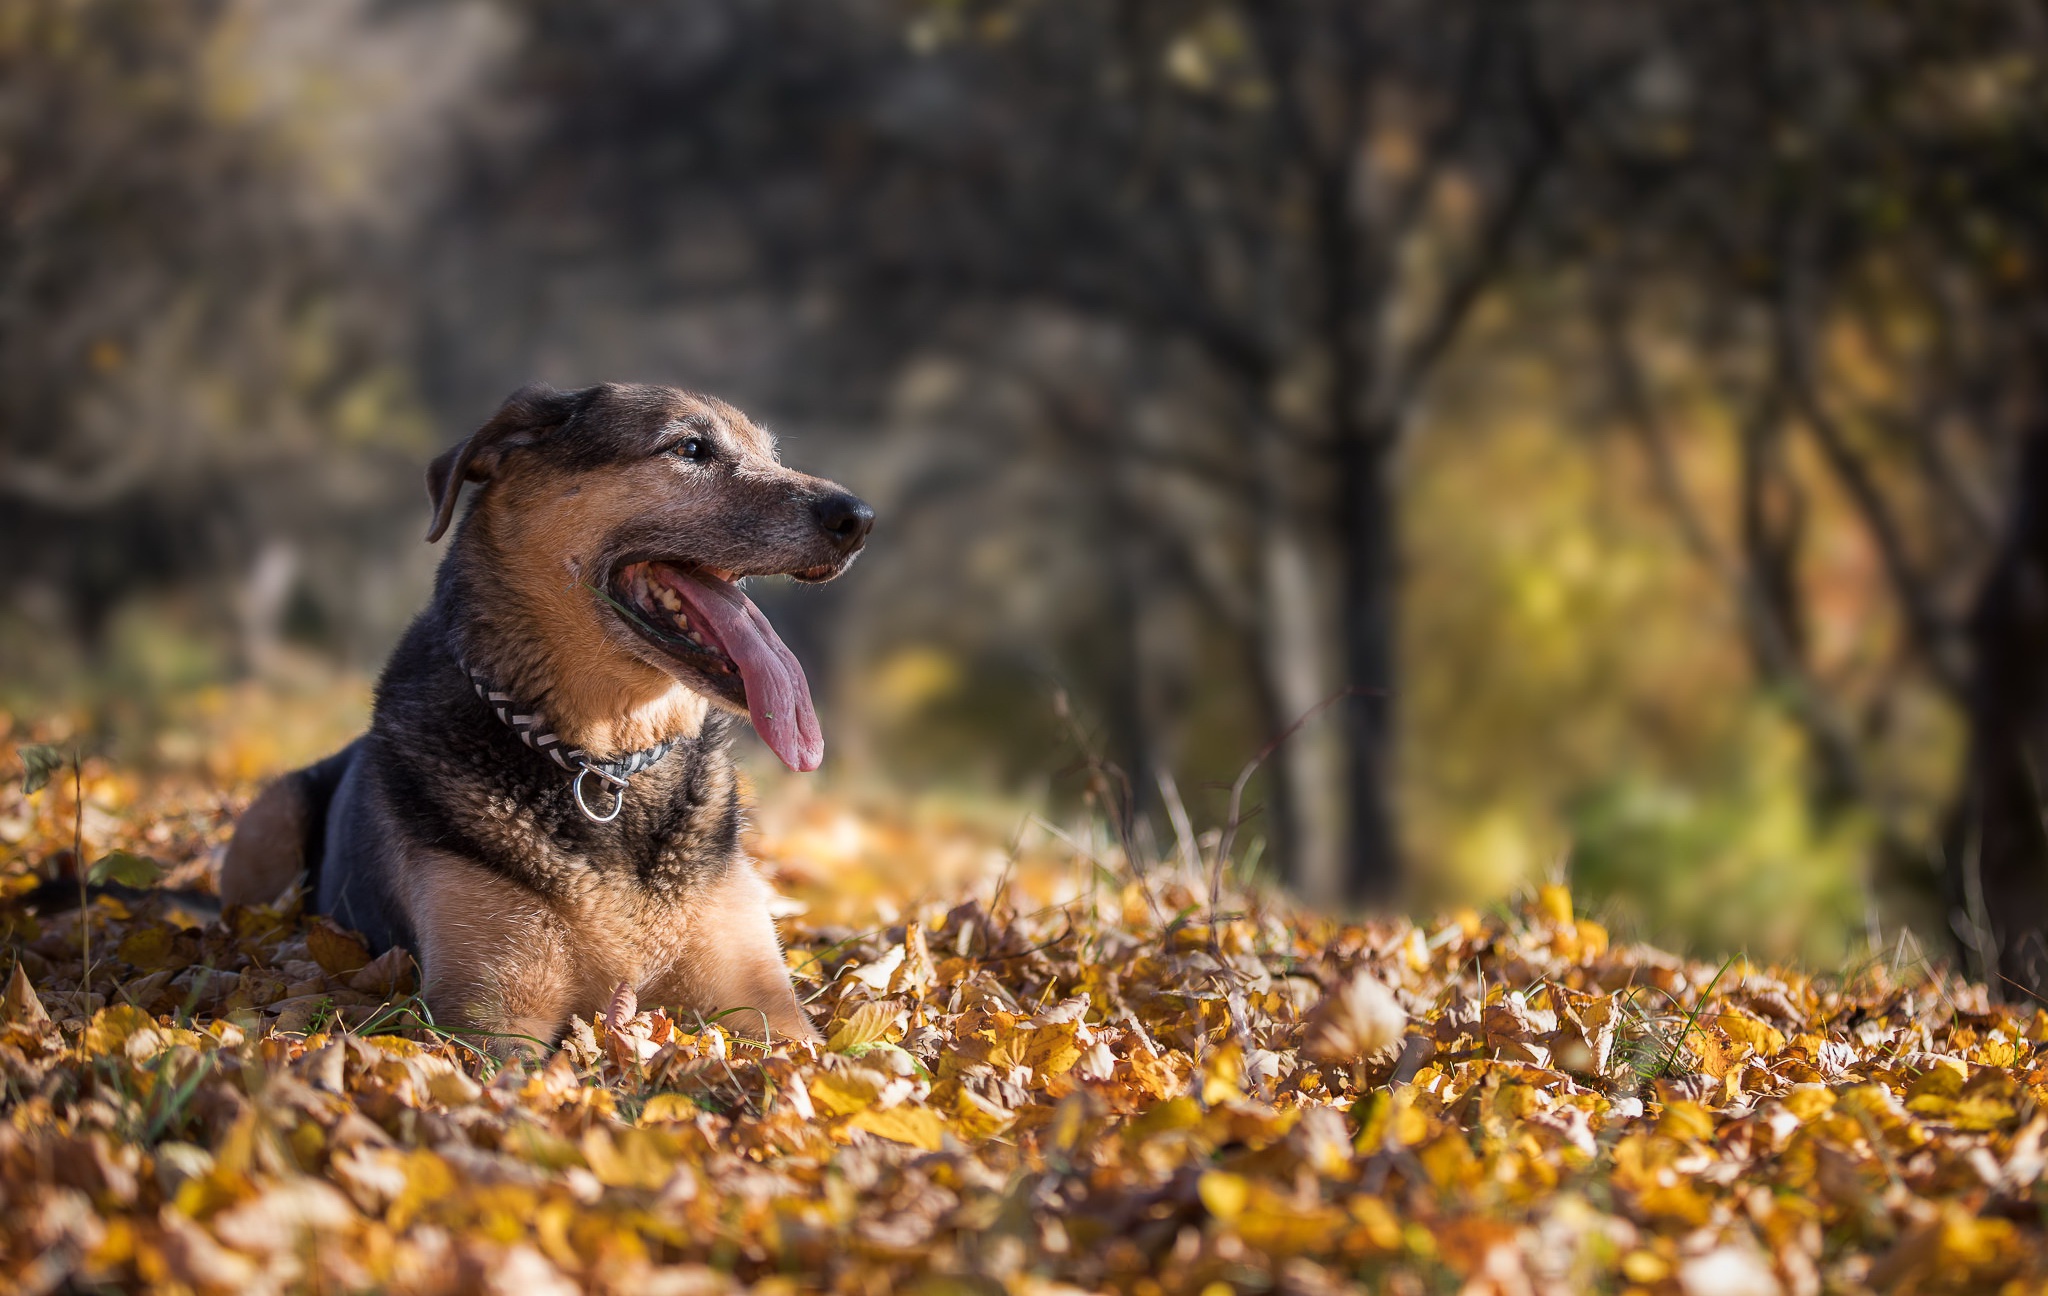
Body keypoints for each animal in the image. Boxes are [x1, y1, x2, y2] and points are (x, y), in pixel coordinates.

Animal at [222, 378, 872, 1048]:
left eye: (770, 454)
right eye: (689, 448)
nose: (858, 519)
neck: (607, 758)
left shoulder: (770, 1009)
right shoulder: (491, 1018)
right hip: (269, 816)